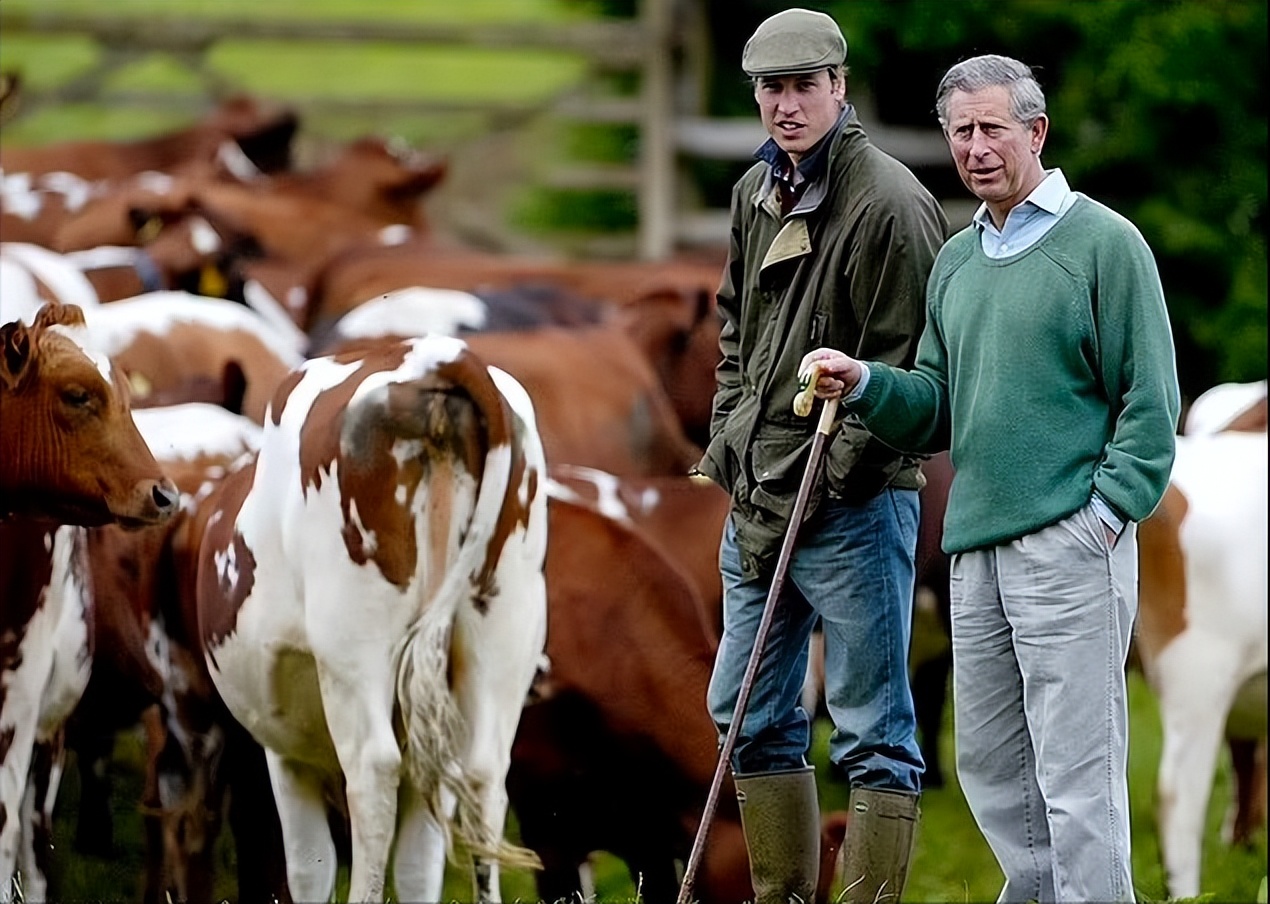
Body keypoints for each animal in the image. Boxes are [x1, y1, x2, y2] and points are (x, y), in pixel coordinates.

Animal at [193, 337, 546, 904]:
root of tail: (436, 355)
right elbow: (419, 867)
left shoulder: (285, 753)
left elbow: (309, 866)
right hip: (502, 638)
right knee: (485, 778)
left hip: (352, 651)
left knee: (373, 773)